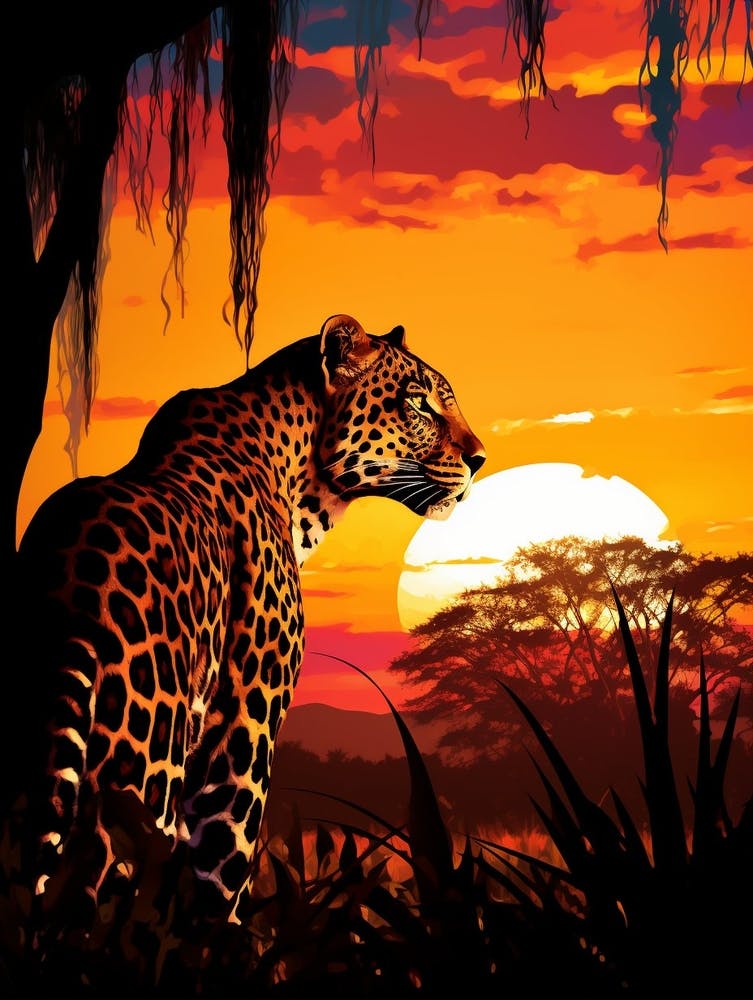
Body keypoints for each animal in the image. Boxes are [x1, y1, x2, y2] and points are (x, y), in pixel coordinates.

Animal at [3, 313, 485, 938]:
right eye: (419, 403)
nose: (480, 459)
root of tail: (66, 579)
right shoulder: (243, 731)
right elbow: (221, 884)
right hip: (141, 775)